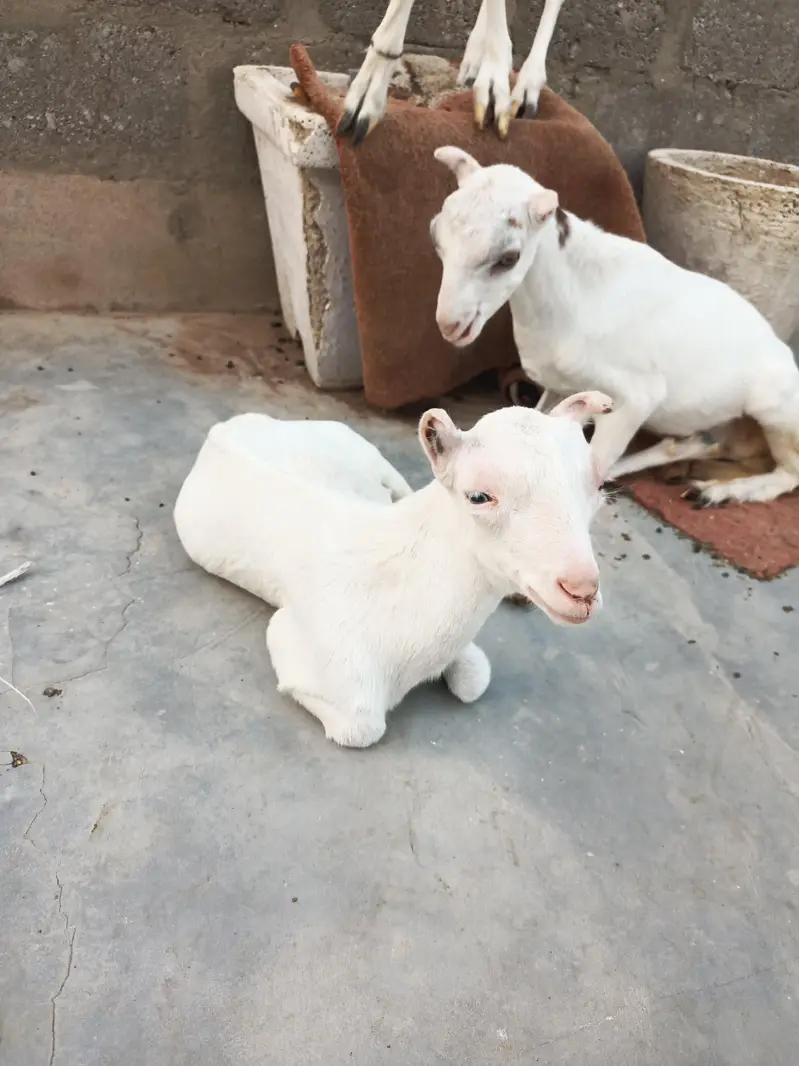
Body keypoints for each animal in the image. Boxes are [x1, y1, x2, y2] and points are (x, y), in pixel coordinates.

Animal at [174, 399, 610, 749]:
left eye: (599, 486)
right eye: (478, 496)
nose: (581, 591)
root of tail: (228, 426)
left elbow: (475, 680)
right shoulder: (302, 646)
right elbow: (361, 726)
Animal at [430, 147, 799, 506]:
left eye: (508, 258)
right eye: (435, 235)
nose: (451, 325)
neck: (577, 298)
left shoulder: (635, 397)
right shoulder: (560, 386)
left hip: (776, 408)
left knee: (788, 474)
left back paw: (720, 492)